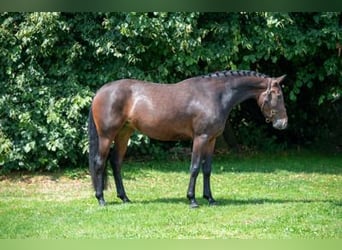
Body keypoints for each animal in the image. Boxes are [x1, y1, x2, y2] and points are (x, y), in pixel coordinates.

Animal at [88, 70, 288, 207]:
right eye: (278, 96)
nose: (283, 123)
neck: (215, 95)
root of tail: (101, 91)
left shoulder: (211, 140)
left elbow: (207, 169)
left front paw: (210, 199)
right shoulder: (200, 138)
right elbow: (194, 168)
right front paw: (192, 200)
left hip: (124, 134)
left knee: (116, 162)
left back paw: (125, 198)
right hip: (106, 136)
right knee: (99, 162)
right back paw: (101, 199)